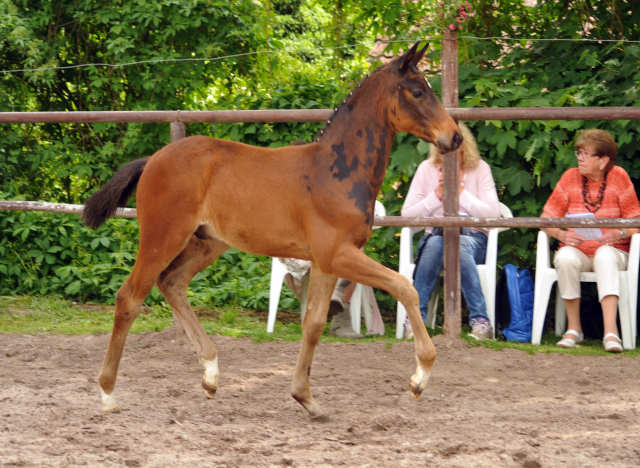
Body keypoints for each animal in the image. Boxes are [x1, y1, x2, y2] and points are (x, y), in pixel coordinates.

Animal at [82, 42, 462, 422]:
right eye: (417, 92)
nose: (455, 137)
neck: (336, 171)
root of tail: (152, 160)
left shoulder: (325, 263)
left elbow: (313, 324)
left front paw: (306, 399)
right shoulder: (337, 254)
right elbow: (404, 287)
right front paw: (420, 377)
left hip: (207, 244)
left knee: (172, 283)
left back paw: (210, 374)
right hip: (162, 238)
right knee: (130, 297)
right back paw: (108, 393)